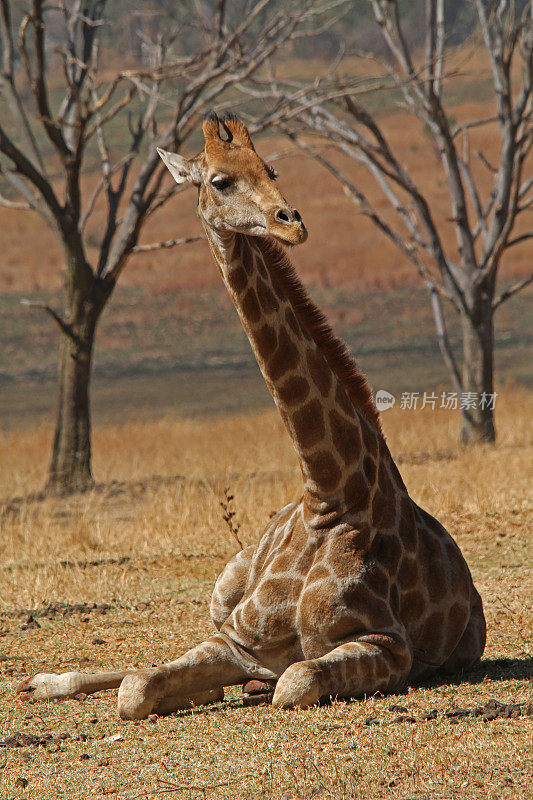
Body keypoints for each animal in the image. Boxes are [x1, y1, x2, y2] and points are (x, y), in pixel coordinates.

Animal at [16, 111, 484, 720]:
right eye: (220, 180)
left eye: (271, 169)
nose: (292, 223)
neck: (329, 494)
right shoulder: (236, 639)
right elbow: (137, 687)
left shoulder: (388, 642)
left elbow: (295, 681)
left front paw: (262, 683)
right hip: (222, 584)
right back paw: (44, 682)